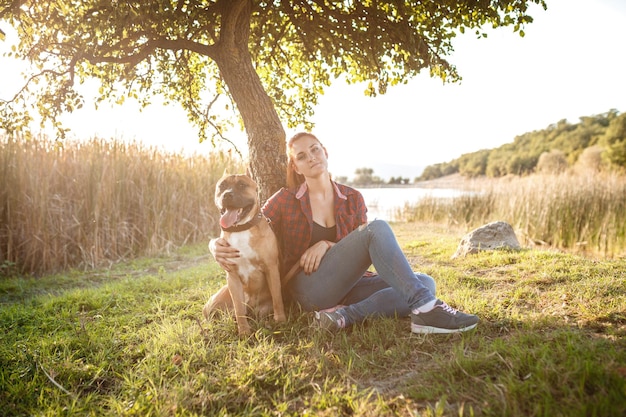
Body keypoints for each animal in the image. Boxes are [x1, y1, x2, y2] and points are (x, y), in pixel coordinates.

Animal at [202, 173, 286, 334]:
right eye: (222, 186)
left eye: (242, 185)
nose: (227, 194)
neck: (241, 229)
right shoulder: (232, 277)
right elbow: (239, 308)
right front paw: (244, 332)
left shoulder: (271, 268)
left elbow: (278, 297)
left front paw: (281, 320)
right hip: (214, 302)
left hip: (262, 309)